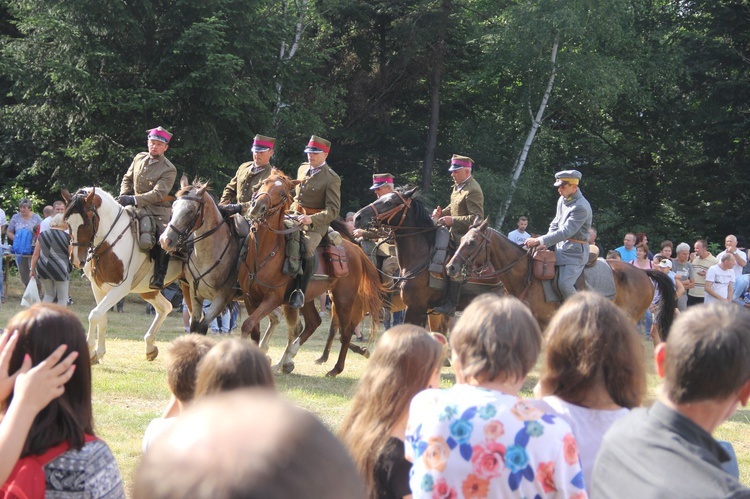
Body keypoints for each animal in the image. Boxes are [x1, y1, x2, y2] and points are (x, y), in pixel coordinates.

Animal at [62, 188, 184, 364]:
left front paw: (90, 350)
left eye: (87, 223)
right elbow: (102, 318)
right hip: (147, 290)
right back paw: (150, 347)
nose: (77, 260)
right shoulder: (98, 287)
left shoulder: (120, 289)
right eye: (67, 222)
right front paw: (98, 352)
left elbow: (94, 315)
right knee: (165, 307)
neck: (110, 241)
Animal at [239, 170, 382, 376]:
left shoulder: (272, 299)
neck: (263, 253)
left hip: (343, 299)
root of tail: (355, 249)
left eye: (282, 193)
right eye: (264, 182)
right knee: (313, 323)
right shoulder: (250, 298)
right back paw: (287, 360)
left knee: (345, 331)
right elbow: (253, 330)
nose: (257, 206)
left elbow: (248, 325)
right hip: (304, 298)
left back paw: (335, 369)